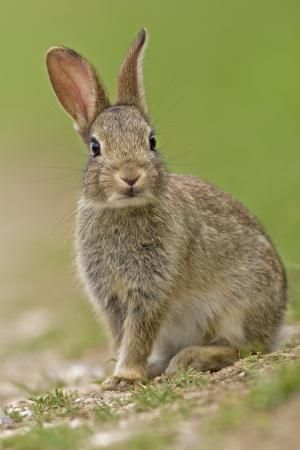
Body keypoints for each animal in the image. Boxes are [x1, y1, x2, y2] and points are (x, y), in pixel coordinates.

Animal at [45, 29, 288, 390]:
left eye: (152, 141)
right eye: (95, 147)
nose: (130, 175)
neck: (125, 210)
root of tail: (277, 319)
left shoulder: (151, 289)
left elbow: (137, 336)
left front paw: (124, 377)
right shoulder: (111, 297)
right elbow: (122, 337)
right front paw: (120, 375)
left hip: (238, 307)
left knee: (244, 347)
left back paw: (189, 359)